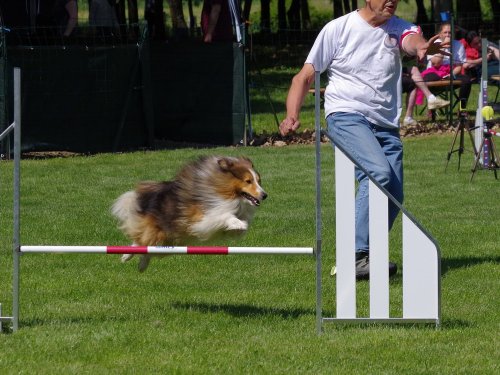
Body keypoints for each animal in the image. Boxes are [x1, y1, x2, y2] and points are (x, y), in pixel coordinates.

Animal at [111, 156, 268, 274]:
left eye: (258, 181)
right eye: (248, 181)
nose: (264, 195)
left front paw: (241, 225)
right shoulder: (202, 218)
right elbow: (224, 215)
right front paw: (239, 223)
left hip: (170, 241)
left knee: (148, 249)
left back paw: (141, 266)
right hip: (160, 232)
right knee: (141, 241)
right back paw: (126, 256)